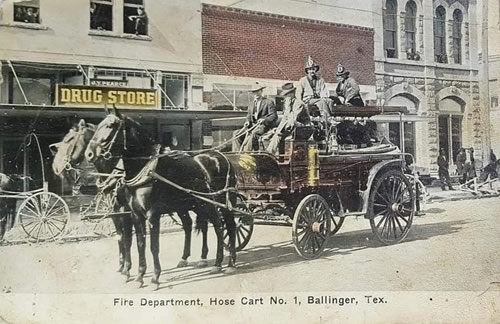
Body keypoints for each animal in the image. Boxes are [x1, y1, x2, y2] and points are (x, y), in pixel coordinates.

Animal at [85, 109, 239, 288]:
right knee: (200, 225)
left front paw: (154, 277)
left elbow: (152, 245)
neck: (146, 172)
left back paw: (226, 263)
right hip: (195, 205)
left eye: (110, 126)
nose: (89, 153)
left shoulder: (151, 215)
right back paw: (195, 258)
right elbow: (138, 243)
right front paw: (138, 275)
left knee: (225, 226)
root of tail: (221, 156)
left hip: (221, 203)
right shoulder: (134, 214)